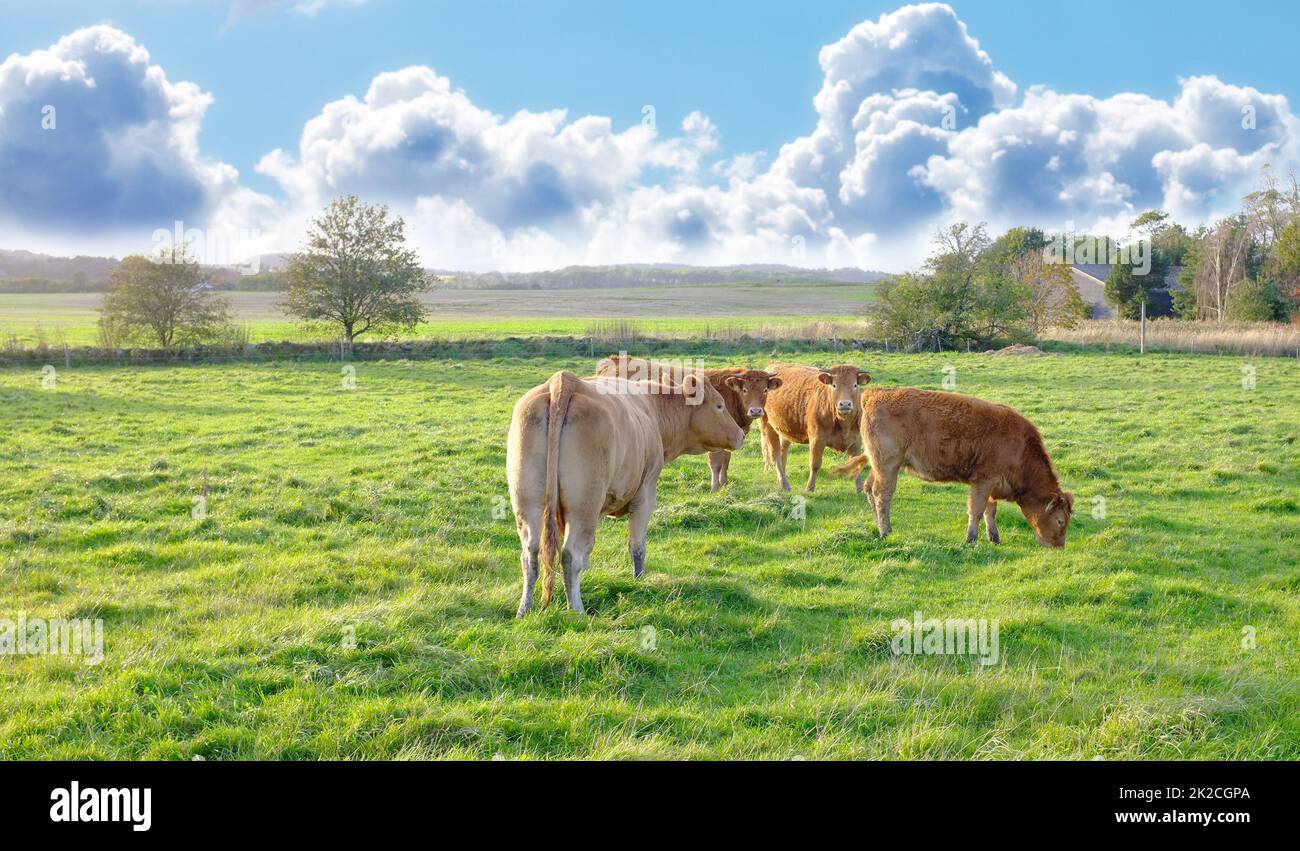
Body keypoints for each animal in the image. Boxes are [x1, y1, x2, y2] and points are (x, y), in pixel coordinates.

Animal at [504, 368, 743, 615]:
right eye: (719, 405)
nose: (740, 434)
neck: (653, 407)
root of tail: (563, 381)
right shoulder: (645, 495)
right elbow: (637, 546)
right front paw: (640, 580)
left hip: (529, 505)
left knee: (531, 554)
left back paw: (525, 609)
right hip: (583, 509)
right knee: (570, 555)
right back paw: (577, 610)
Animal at [595, 355, 780, 493]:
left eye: (765, 390)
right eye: (745, 390)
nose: (755, 411)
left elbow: (726, 460)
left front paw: (725, 484)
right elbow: (716, 463)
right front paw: (715, 488)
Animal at [759, 363, 873, 493]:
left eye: (855, 385)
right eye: (834, 385)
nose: (845, 404)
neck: (844, 424)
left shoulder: (856, 440)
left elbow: (857, 463)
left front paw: (860, 489)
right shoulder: (817, 438)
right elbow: (815, 464)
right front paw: (810, 488)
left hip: (784, 429)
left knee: (783, 451)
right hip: (767, 425)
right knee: (775, 455)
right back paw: (784, 484)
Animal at [837, 389, 1071, 548]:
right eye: (1060, 520)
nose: (1059, 546)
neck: (1020, 446)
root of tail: (875, 393)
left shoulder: (991, 484)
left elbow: (990, 511)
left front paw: (994, 538)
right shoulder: (983, 481)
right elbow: (976, 510)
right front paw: (971, 539)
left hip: (879, 465)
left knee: (869, 488)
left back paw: (879, 524)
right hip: (887, 464)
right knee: (882, 494)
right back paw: (885, 530)